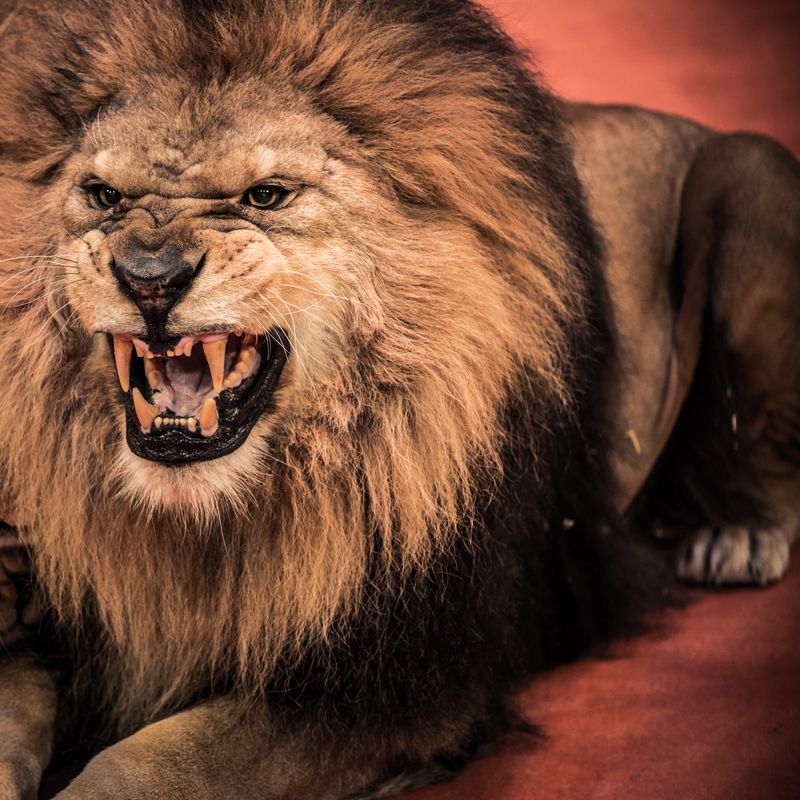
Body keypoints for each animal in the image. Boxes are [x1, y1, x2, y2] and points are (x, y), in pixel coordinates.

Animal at [0, 0, 797, 798]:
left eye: (266, 196)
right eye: (104, 196)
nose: (151, 277)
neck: (201, 513)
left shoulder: (402, 680)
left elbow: (149, 765)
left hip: (748, 167)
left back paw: (737, 533)